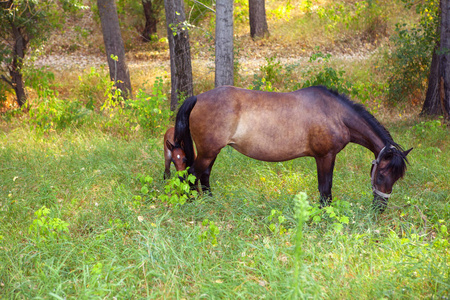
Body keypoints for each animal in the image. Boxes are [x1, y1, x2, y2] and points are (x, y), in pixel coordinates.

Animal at [174, 84, 414, 211]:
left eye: (397, 178)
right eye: (381, 174)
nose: (380, 208)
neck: (335, 114)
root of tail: (197, 98)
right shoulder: (325, 156)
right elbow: (325, 189)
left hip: (211, 152)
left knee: (203, 175)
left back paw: (210, 202)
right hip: (208, 152)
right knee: (190, 175)